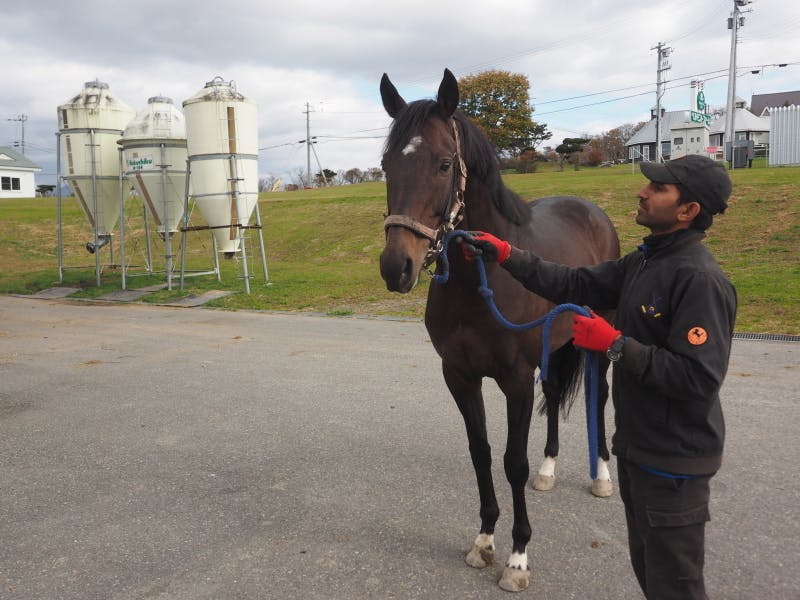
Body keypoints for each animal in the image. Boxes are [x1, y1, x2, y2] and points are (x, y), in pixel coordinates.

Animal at [378, 69, 620, 592]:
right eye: (385, 164)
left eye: (445, 164)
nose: (396, 267)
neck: (480, 282)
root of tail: (590, 209)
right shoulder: (460, 376)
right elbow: (482, 453)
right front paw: (484, 540)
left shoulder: (515, 381)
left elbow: (512, 461)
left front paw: (517, 557)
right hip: (558, 342)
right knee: (556, 392)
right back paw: (550, 469)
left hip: (597, 340)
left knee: (600, 396)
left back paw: (602, 477)